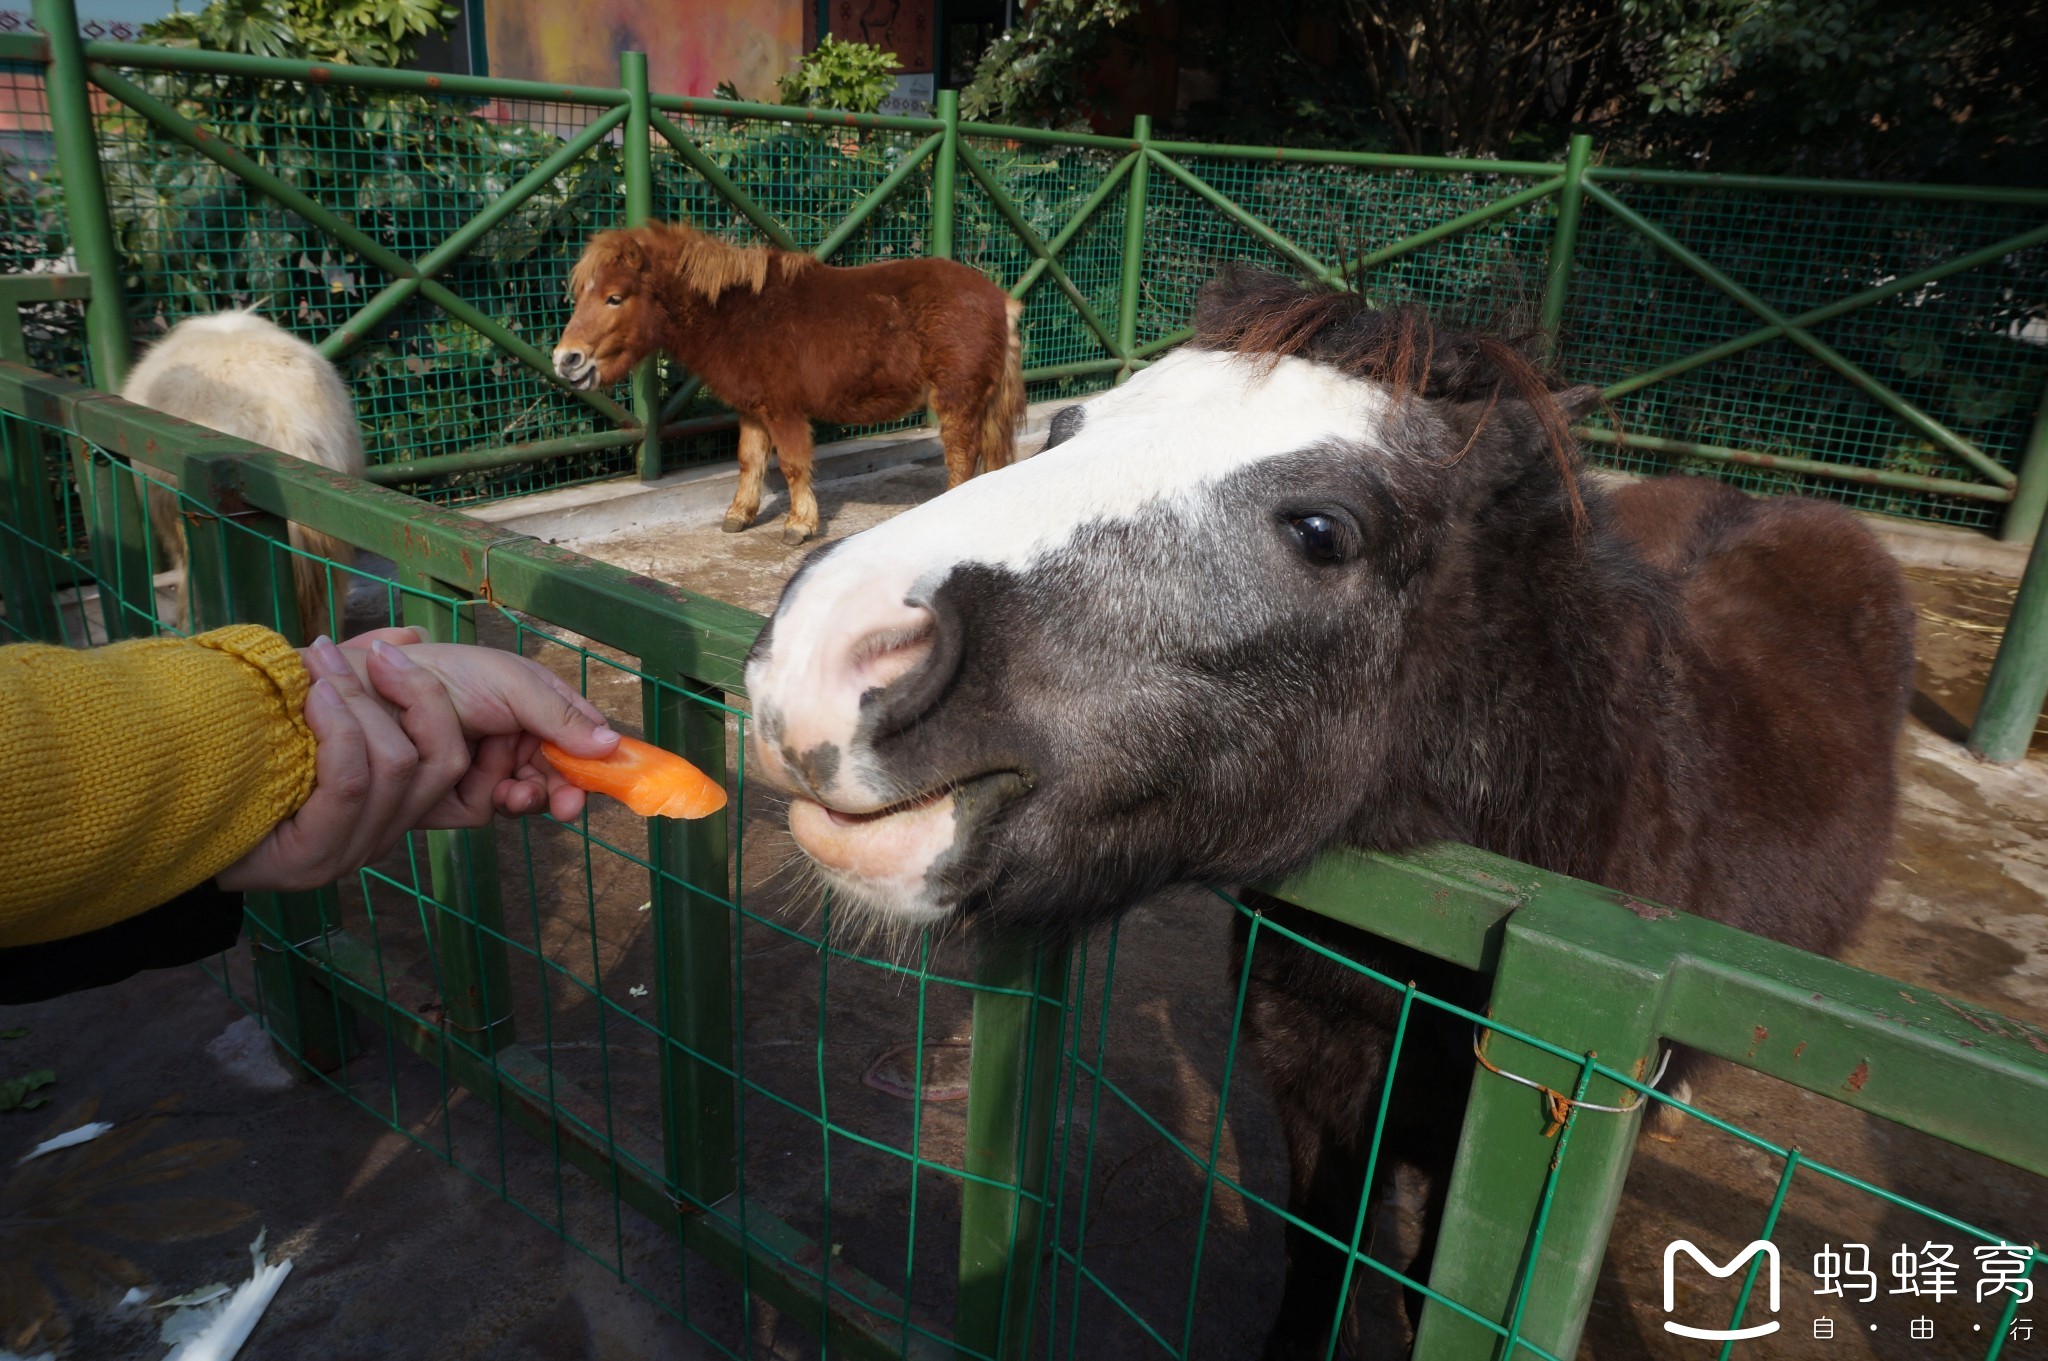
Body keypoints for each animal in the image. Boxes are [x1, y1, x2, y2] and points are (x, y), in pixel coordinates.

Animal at [552, 222, 1024, 540]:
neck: (738, 314)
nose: (565, 360)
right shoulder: (752, 409)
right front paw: (739, 514)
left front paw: (800, 524)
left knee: (961, 458)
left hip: (957, 400)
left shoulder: (784, 410)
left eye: (615, 298)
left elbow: (795, 465)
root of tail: (998, 298)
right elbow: (749, 461)